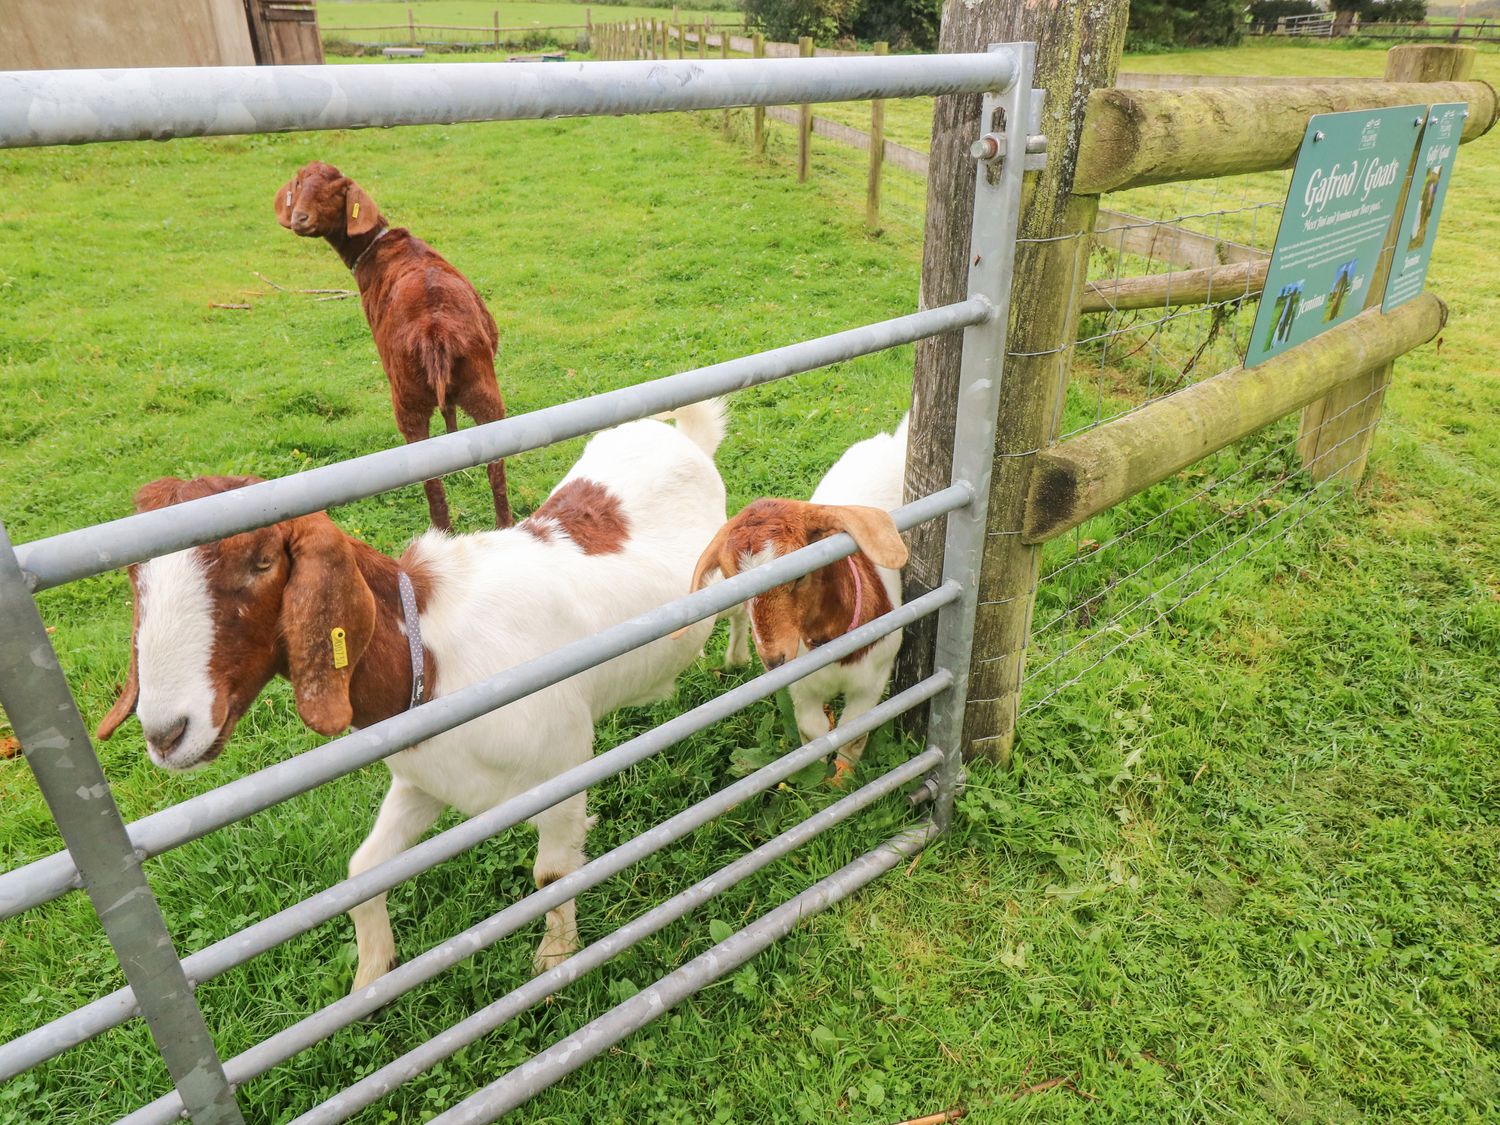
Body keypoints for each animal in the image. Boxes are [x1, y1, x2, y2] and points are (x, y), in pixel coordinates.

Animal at [99, 402, 744, 996]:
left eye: (260, 562)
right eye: (134, 581)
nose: (166, 733)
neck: (431, 657)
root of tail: (683, 436)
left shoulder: (562, 765)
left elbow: (551, 875)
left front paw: (554, 962)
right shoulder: (424, 780)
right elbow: (362, 872)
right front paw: (369, 977)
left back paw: (742, 658)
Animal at [276, 162, 516, 534]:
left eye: (335, 192)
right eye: (299, 183)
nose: (300, 218)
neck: (377, 250)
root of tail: (435, 333)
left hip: (406, 395)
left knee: (430, 478)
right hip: (482, 383)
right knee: (495, 465)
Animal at [687, 414, 906, 786]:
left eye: (801, 574)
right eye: (731, 579)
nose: (773, 659)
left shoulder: (873, 679)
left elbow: (854, 731)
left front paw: (841, 780)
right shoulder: (801, 687)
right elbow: (813, 730)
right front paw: (813, 772)